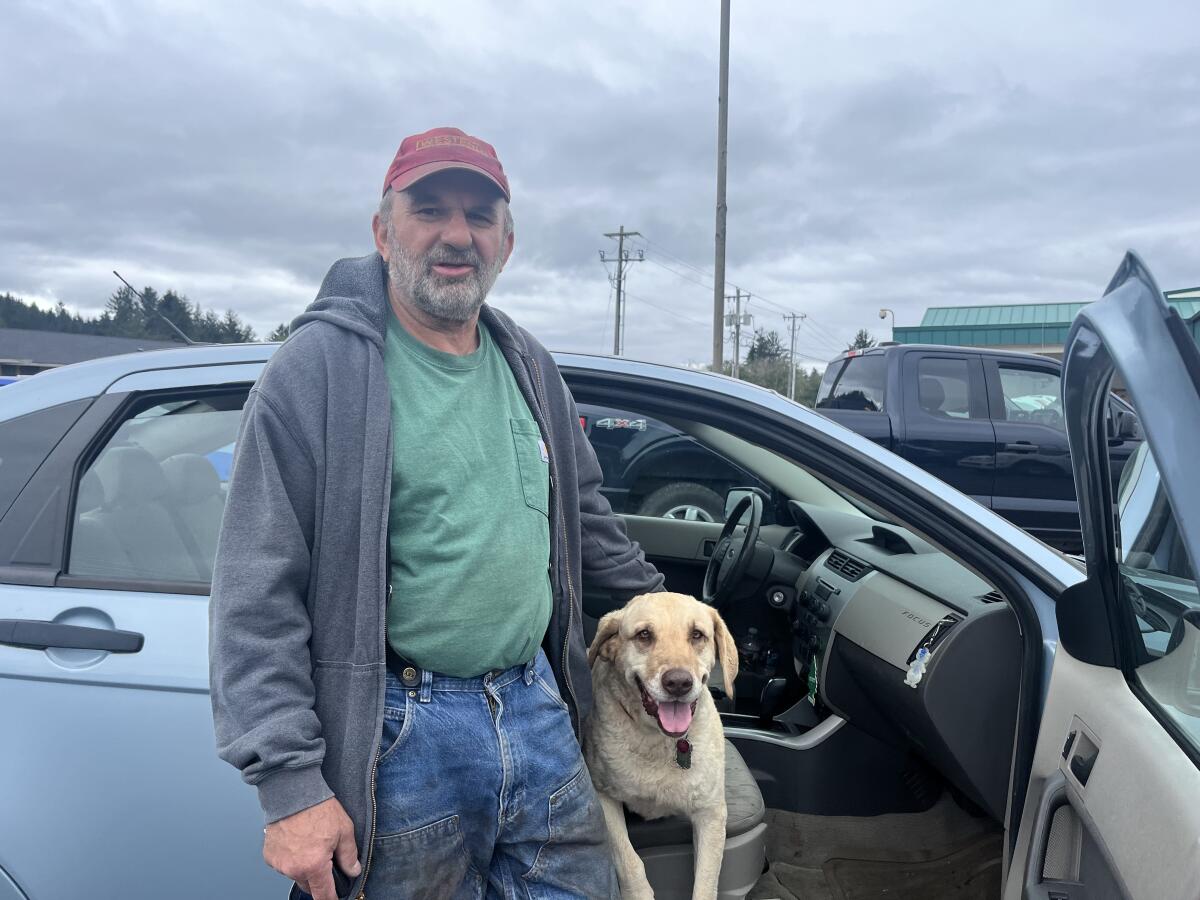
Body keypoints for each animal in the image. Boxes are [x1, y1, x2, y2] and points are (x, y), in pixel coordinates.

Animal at [583, 595, 734, 897]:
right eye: (644, 635)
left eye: (697, 635)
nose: (678, 682)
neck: (660, 739)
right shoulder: (603, 797)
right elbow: (630, 862)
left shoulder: (711, 813)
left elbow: (706, 882)